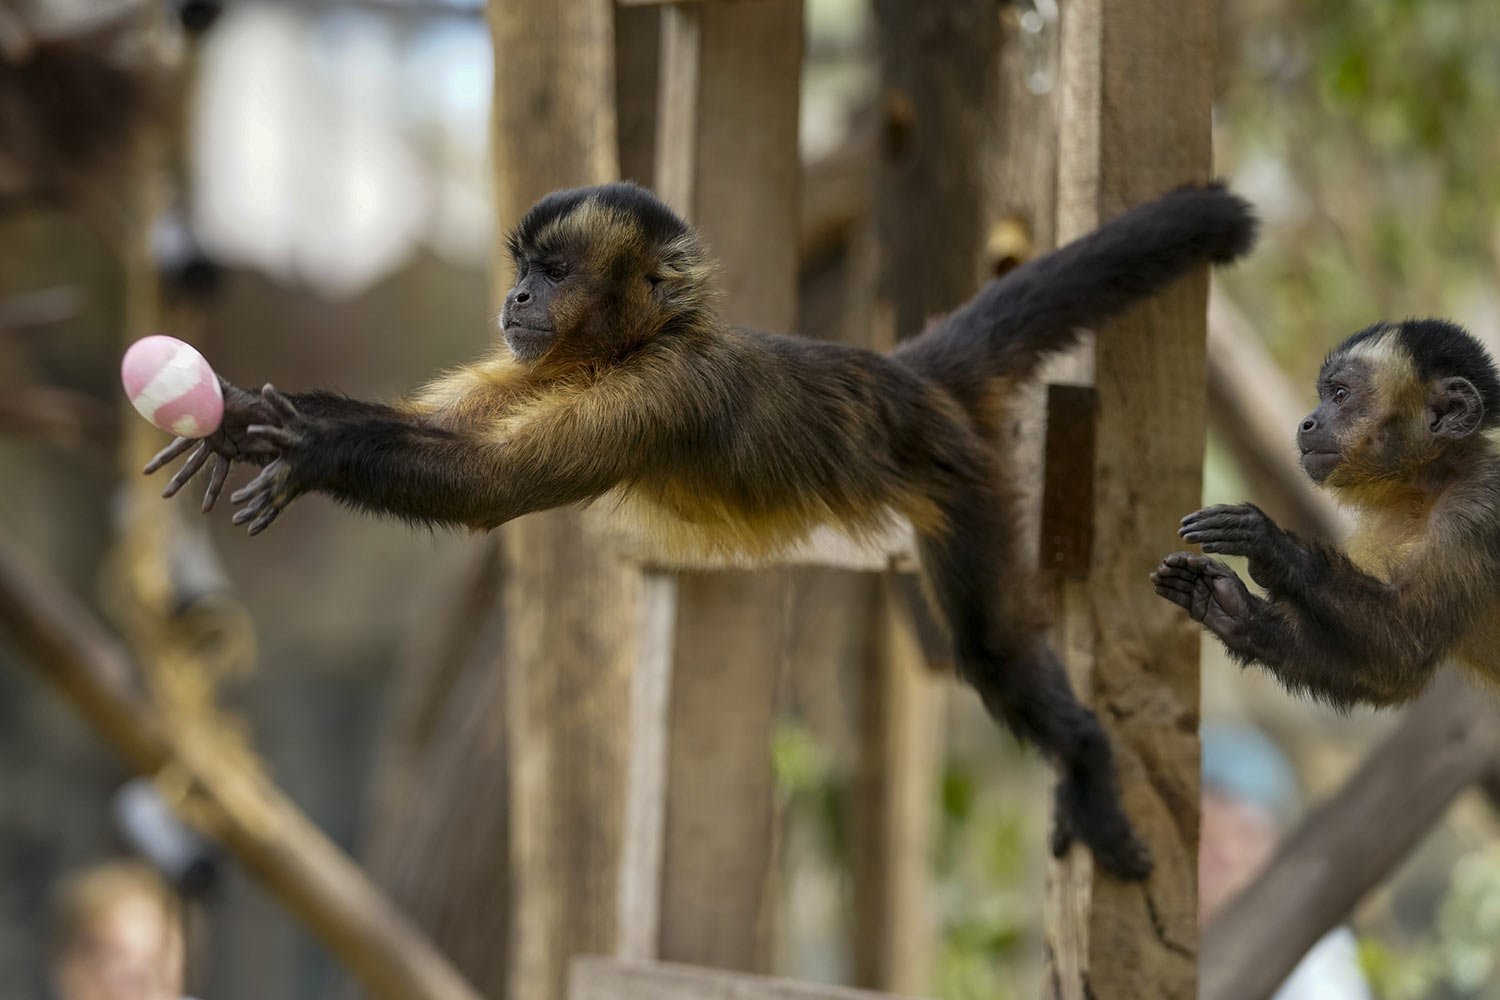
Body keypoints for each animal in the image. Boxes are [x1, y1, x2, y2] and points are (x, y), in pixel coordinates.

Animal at [149, 179, 1254, 875]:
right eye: (526, 269)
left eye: (554, 271)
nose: (515, 294)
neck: (628, 346)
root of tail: (901, 379)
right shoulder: (529, 362)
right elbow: (447, 436)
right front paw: (238, 416)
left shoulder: (662, 395)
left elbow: (486, 483)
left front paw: (306, 453)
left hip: (963, 475)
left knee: (989, 647)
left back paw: (1089, 759)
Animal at [1158, 319, 1500, 704]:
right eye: (1326, 394)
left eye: (1340, 395)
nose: (1307, 422)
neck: (1436, 478)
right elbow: (1392, 674)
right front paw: (1228, 607)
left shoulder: (1478, 507)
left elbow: (1408, 646)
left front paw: (1269, 545)